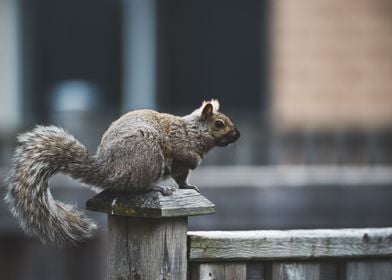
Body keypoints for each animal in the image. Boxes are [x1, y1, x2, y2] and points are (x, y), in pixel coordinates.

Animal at [4, 99, 240, 246]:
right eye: (219, 124)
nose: (237, 135)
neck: (194, 130)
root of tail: (107, 171)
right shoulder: (180, 145)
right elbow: (186, 156)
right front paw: (195, 163)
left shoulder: (180, 169)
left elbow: (182, 179)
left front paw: (189, 186)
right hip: (147, 156)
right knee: (137, 186)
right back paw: (158, 188)